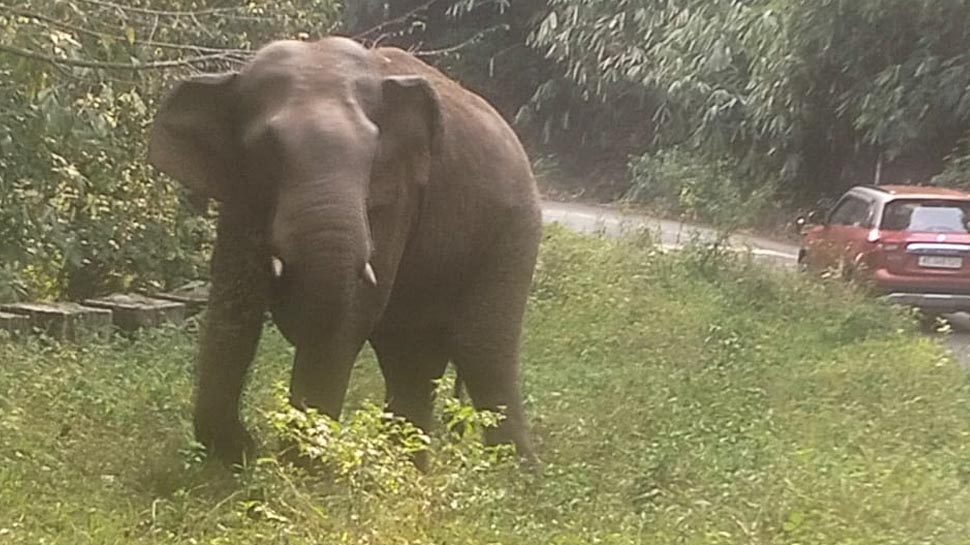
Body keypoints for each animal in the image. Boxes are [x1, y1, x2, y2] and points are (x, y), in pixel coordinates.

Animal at [148, 36, 541, 468]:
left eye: (373, 152)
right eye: (266, 150)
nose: (254, 445)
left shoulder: (396, 193)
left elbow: (348, 319)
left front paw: (298, 471)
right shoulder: (240, 192)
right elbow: (233, 307)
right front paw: (240, 457)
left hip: (513, 231)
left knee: (481, 352)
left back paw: (515, 480)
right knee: (412, 360)